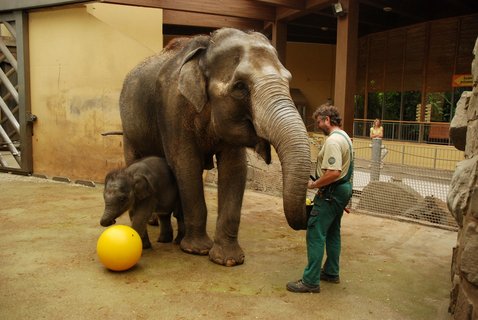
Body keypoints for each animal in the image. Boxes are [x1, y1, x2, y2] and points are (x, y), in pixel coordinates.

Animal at [119, 27, 310, 266]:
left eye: (288, 80)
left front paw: (228, 260)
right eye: (240, 87)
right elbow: (186, 164)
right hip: (129, 131)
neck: (206, 48)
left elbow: (235, 169)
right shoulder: (172, 107)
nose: (309, 211)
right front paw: (197, 250)